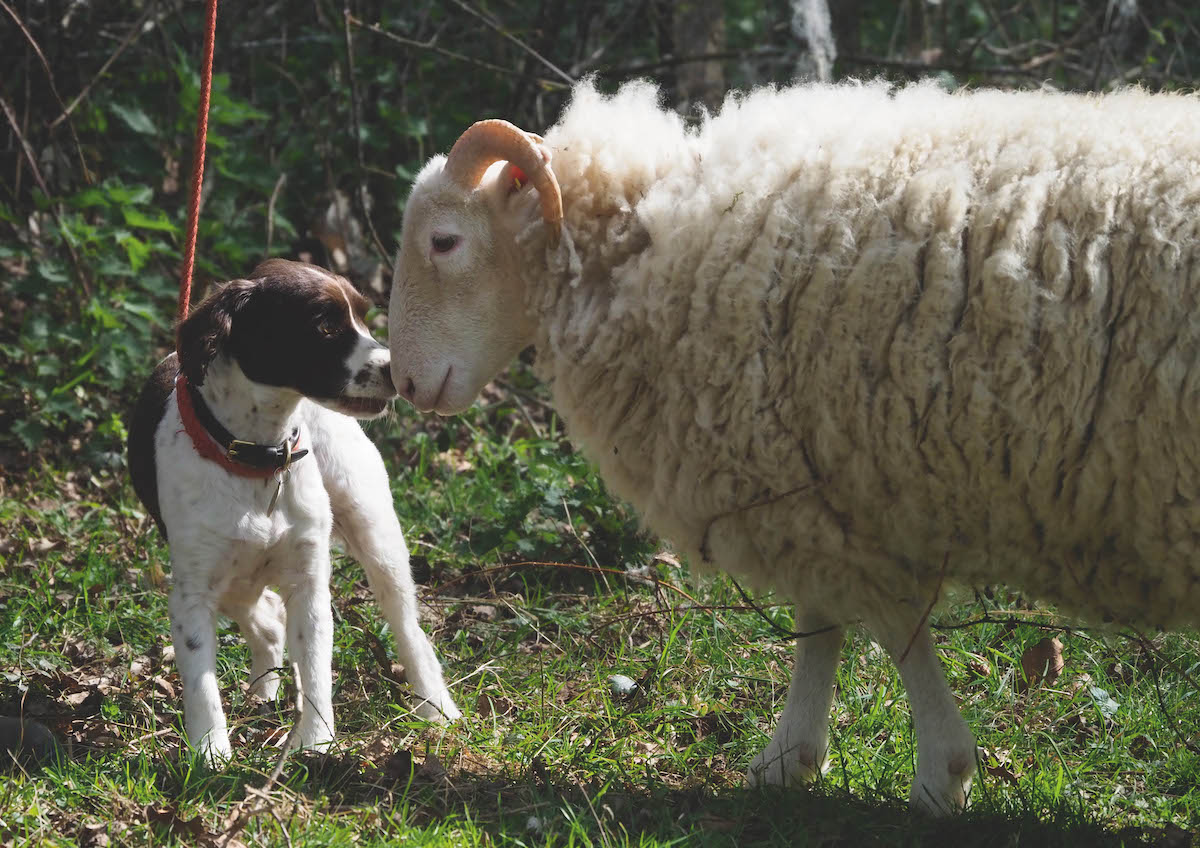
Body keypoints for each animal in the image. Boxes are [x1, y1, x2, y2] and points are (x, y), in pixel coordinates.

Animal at [127, 256, 458, 762]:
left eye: (364, 317)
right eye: (325, 325)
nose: (394, 370)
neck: (257, 458)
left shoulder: (308, 580)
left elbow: (317, 666)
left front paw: (315, 741)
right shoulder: (194, 589)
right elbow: (201, 681)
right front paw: (211, 752)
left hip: (375, 532)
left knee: (407, 626)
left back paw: (435, 706)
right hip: (231, 576)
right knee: (265, 619)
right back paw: (262, 693)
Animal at [388, 81, 1200, 815]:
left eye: (444, 241)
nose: (402, 381)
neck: (642, 240)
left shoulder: (819, 491)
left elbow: (890, 628)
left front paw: (934, 773)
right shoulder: (807, 482)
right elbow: (824, 624)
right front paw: (795, 760)